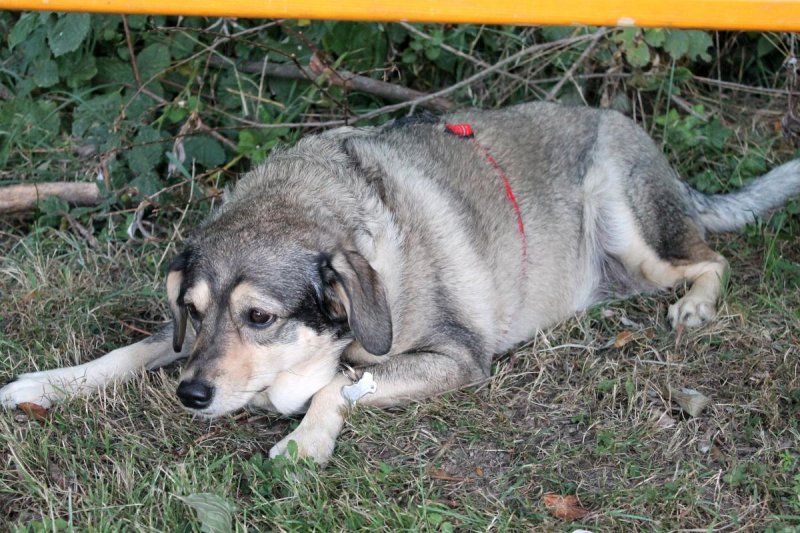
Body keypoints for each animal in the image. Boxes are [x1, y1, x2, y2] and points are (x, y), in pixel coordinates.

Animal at [2, 102, 799, 464]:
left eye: (261, 317)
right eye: (192, 312)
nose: (190, 396)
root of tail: (632, 128)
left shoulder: (456, 360)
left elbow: (338, 384)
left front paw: (306, 446)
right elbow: (131, 351)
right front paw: (48, 383)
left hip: (633, 232)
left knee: (711, 260)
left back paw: (695, 307)